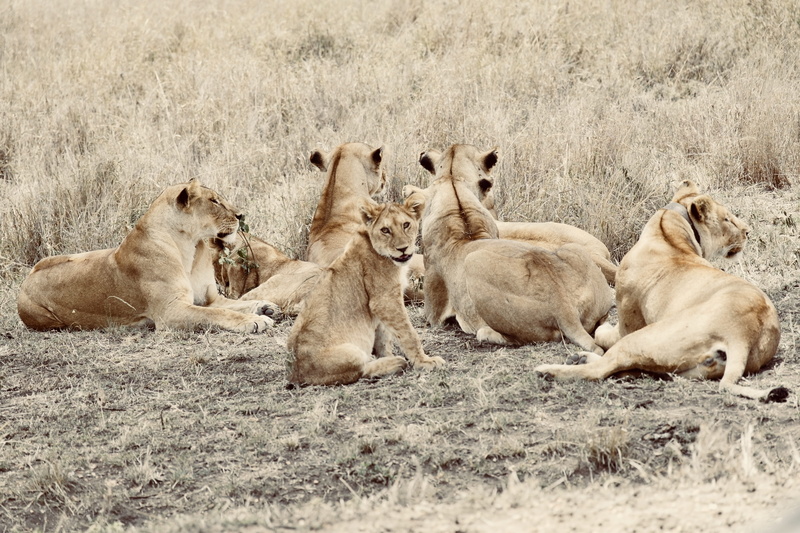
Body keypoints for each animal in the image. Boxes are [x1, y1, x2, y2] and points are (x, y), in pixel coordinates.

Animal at [17, 180, 277, 333]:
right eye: (214, 201)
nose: (241, 215)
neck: (191, 247)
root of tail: (28, 278)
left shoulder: (209, 298)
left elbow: (237, 304)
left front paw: (265, 307)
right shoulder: (170, 312)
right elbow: (218, 313)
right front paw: (254, 321)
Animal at [288, 193, 445, 386]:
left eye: (406, 225)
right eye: (385, 230)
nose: (402, 249)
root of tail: (295, 375)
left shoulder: (382, 305)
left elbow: (384, 338)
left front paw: (388, 354)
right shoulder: (385, 300)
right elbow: (409, 333)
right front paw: (424, 362)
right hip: (350, 352)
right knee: (360, 370)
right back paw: (395, 363)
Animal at [535, 180, 790, 402]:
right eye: (727, 219)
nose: (748, 232)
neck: (668, 230)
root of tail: (743, 333)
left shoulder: (627, 324)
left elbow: (601, 334)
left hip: (644, 337)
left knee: (602, 368)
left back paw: (549, 370)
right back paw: (577, 359)